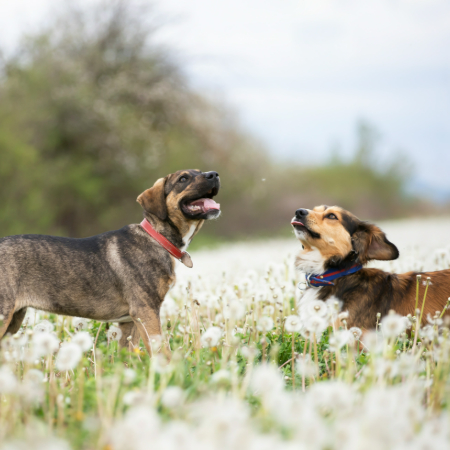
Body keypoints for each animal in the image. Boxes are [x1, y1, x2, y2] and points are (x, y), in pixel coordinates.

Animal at [0, 170, 220, 356]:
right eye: (183, 178)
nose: (214, 174)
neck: (157, 238)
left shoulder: (129, 322)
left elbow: (128, 357)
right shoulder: (146, 311)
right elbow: (159, 351)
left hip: (14, 320)